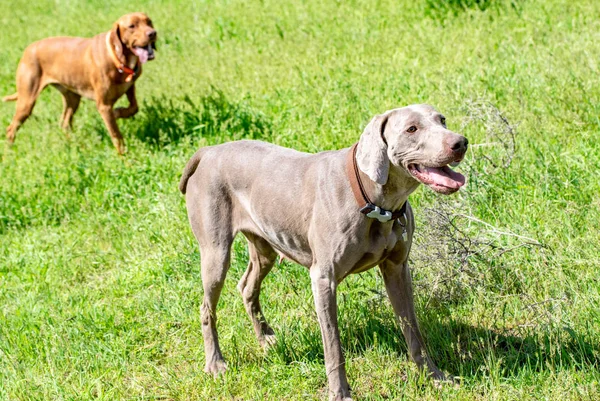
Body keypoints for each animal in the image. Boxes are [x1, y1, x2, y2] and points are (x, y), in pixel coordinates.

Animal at [2, 12, 157, 153]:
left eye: (149, 22)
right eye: (132, 26)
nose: (153, 33)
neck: (119, 58)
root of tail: (27, 49)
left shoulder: (130, 87)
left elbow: (134, 107)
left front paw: (118, 112)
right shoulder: (104, 106)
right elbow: (116, 136)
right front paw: (125, 159)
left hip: (73, 97)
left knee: (64, 123)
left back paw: (75, 146)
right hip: (27, 100)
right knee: (11, 128)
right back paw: (8, 153)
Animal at [178, 104, 468, 398]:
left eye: (442, 120)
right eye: (411, 129)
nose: (460, 142)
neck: (376, 203)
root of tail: (209, 150)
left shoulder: (397, 269)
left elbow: (413, 330)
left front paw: (434, 377)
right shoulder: (323, 279)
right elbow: (333, 346)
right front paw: (340, 393)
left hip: (264, 246)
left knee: (247, 286)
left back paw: (266, 339)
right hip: (216, 252)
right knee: (206, 307)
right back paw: (215, 364)